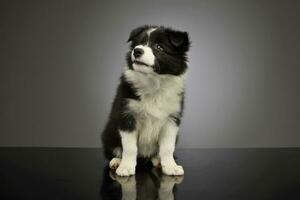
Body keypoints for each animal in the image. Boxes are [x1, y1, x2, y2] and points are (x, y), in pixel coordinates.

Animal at [101, 25, 190, 177]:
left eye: (159, 47)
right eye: (139, 43)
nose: (137, 51)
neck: (153, 82)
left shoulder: (171, 119)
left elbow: (167, 147)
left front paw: (170, 166)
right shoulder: (127, 116)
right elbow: (129, 147)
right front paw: (126, 167)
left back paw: (157, 160)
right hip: (109, 133)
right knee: (116, 149)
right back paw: (117, 161)